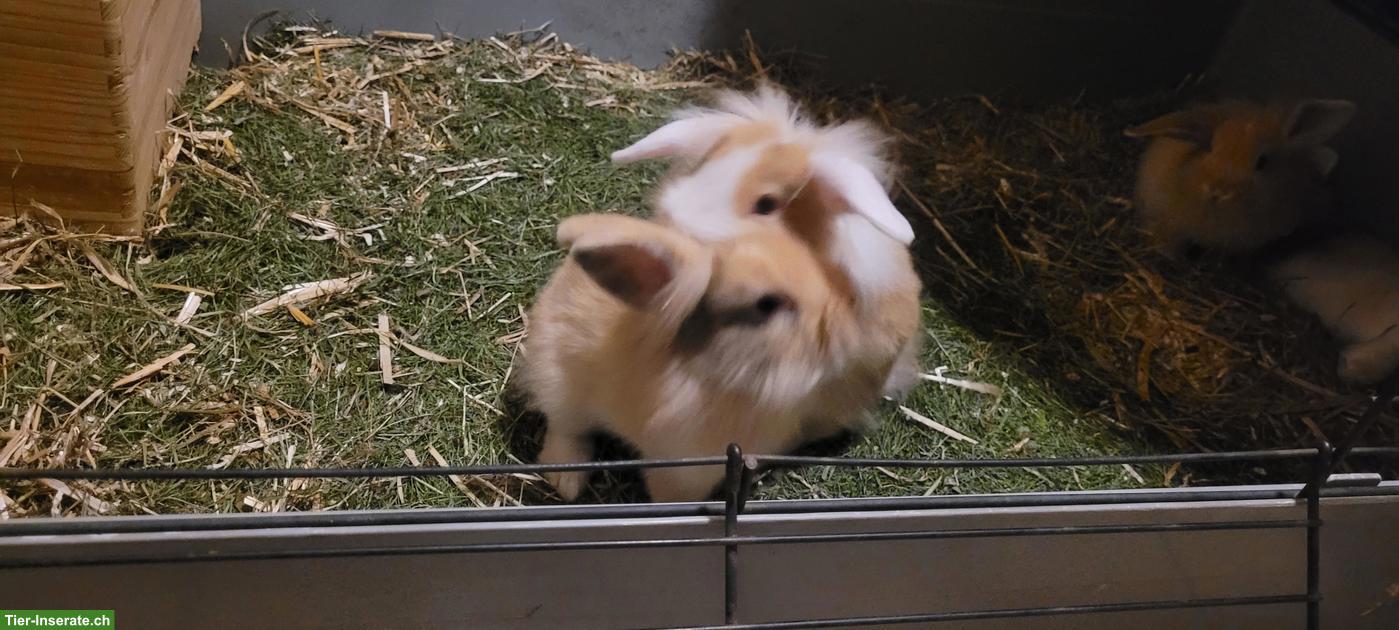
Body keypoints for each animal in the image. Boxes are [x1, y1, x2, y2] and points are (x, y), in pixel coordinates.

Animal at [517, 213, 917, 502]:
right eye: (767, 304)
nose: (843, 327)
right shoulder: (680, 468)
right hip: (557, 381)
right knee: (564, 430)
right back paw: (568, 483)